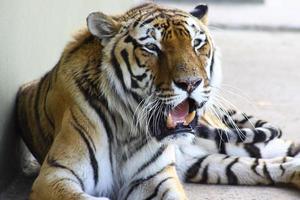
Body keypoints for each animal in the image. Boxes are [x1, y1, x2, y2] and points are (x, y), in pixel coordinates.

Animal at [16, 2, 300, 199]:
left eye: (197, 44)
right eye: (152, 47)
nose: (191, 83)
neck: (128, 130)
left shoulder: (156, 178)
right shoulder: (56, 175)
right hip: (202, 161)